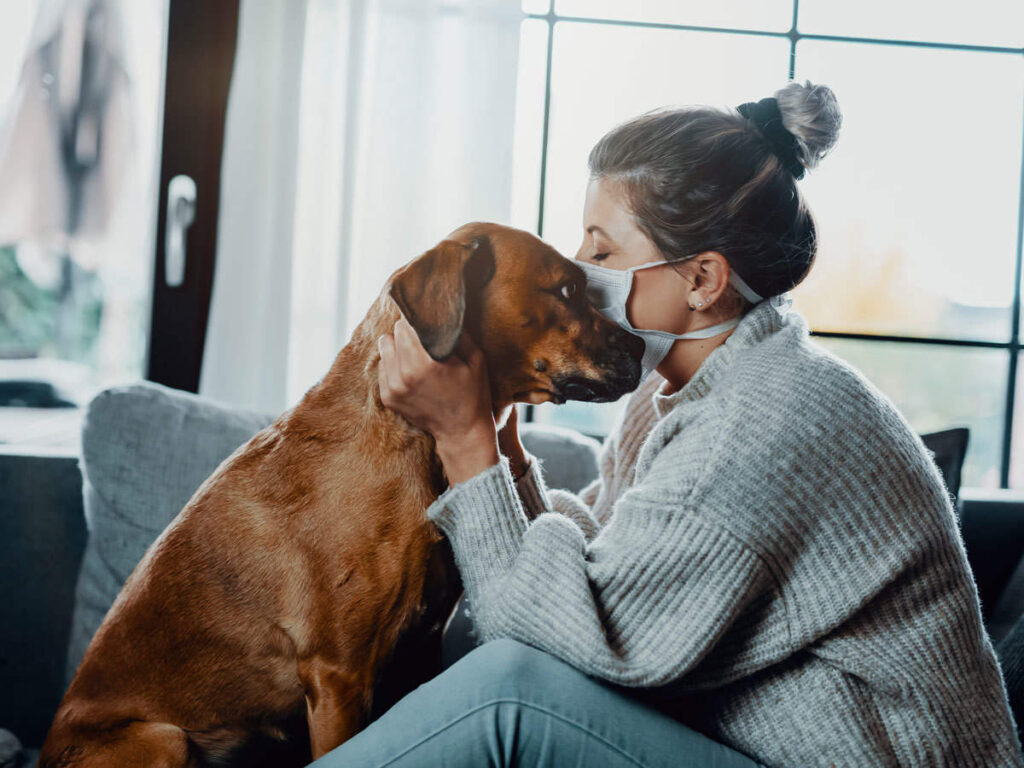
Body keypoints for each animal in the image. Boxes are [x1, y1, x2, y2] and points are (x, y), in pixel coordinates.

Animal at [44, 219, 643, 765]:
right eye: (566, 290)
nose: (641, 346)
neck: (407, 436)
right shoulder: (340, 676)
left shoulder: (417, 654)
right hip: (163, 740)